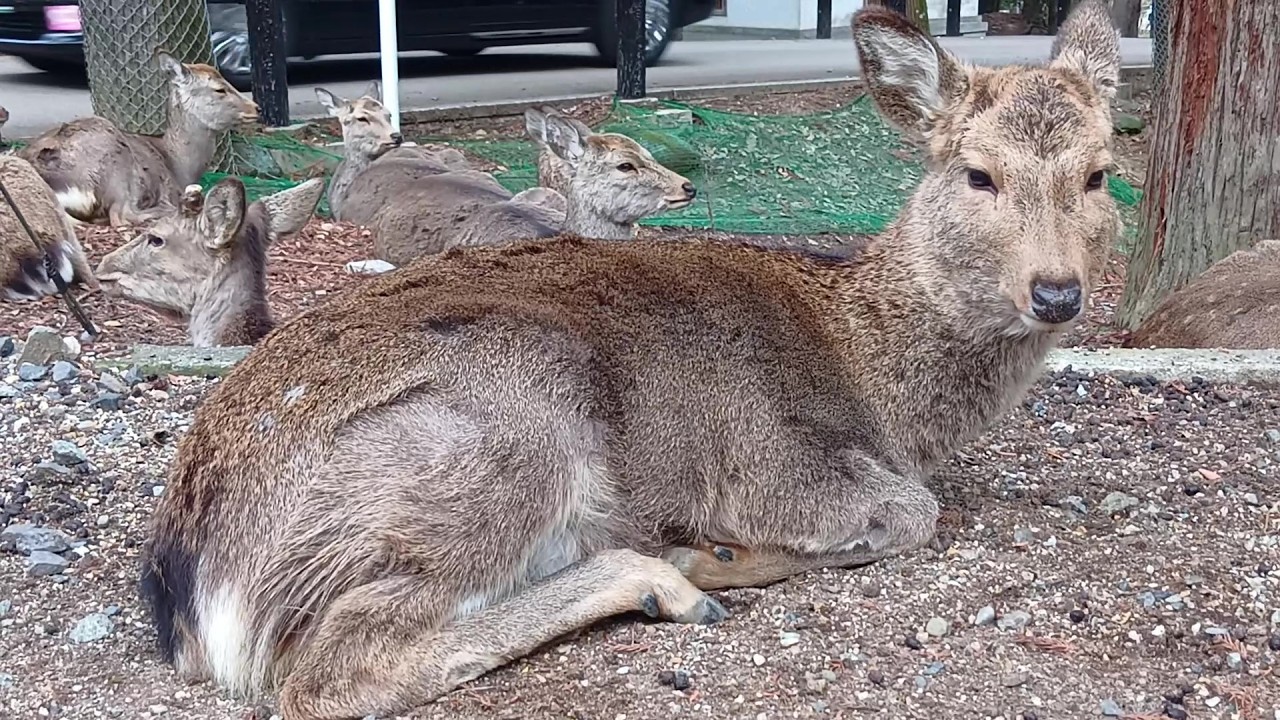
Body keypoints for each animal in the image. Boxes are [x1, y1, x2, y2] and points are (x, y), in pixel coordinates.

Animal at [138, 2, 1121, 718]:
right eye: (978, 174)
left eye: (1099, 172)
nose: (1058, 293)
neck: (874, 375)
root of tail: (192, 581)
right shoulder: (775, 462)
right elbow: (913, 512)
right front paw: (725, 550)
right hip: (501, 431)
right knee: (333, 671)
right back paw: (672, 578)